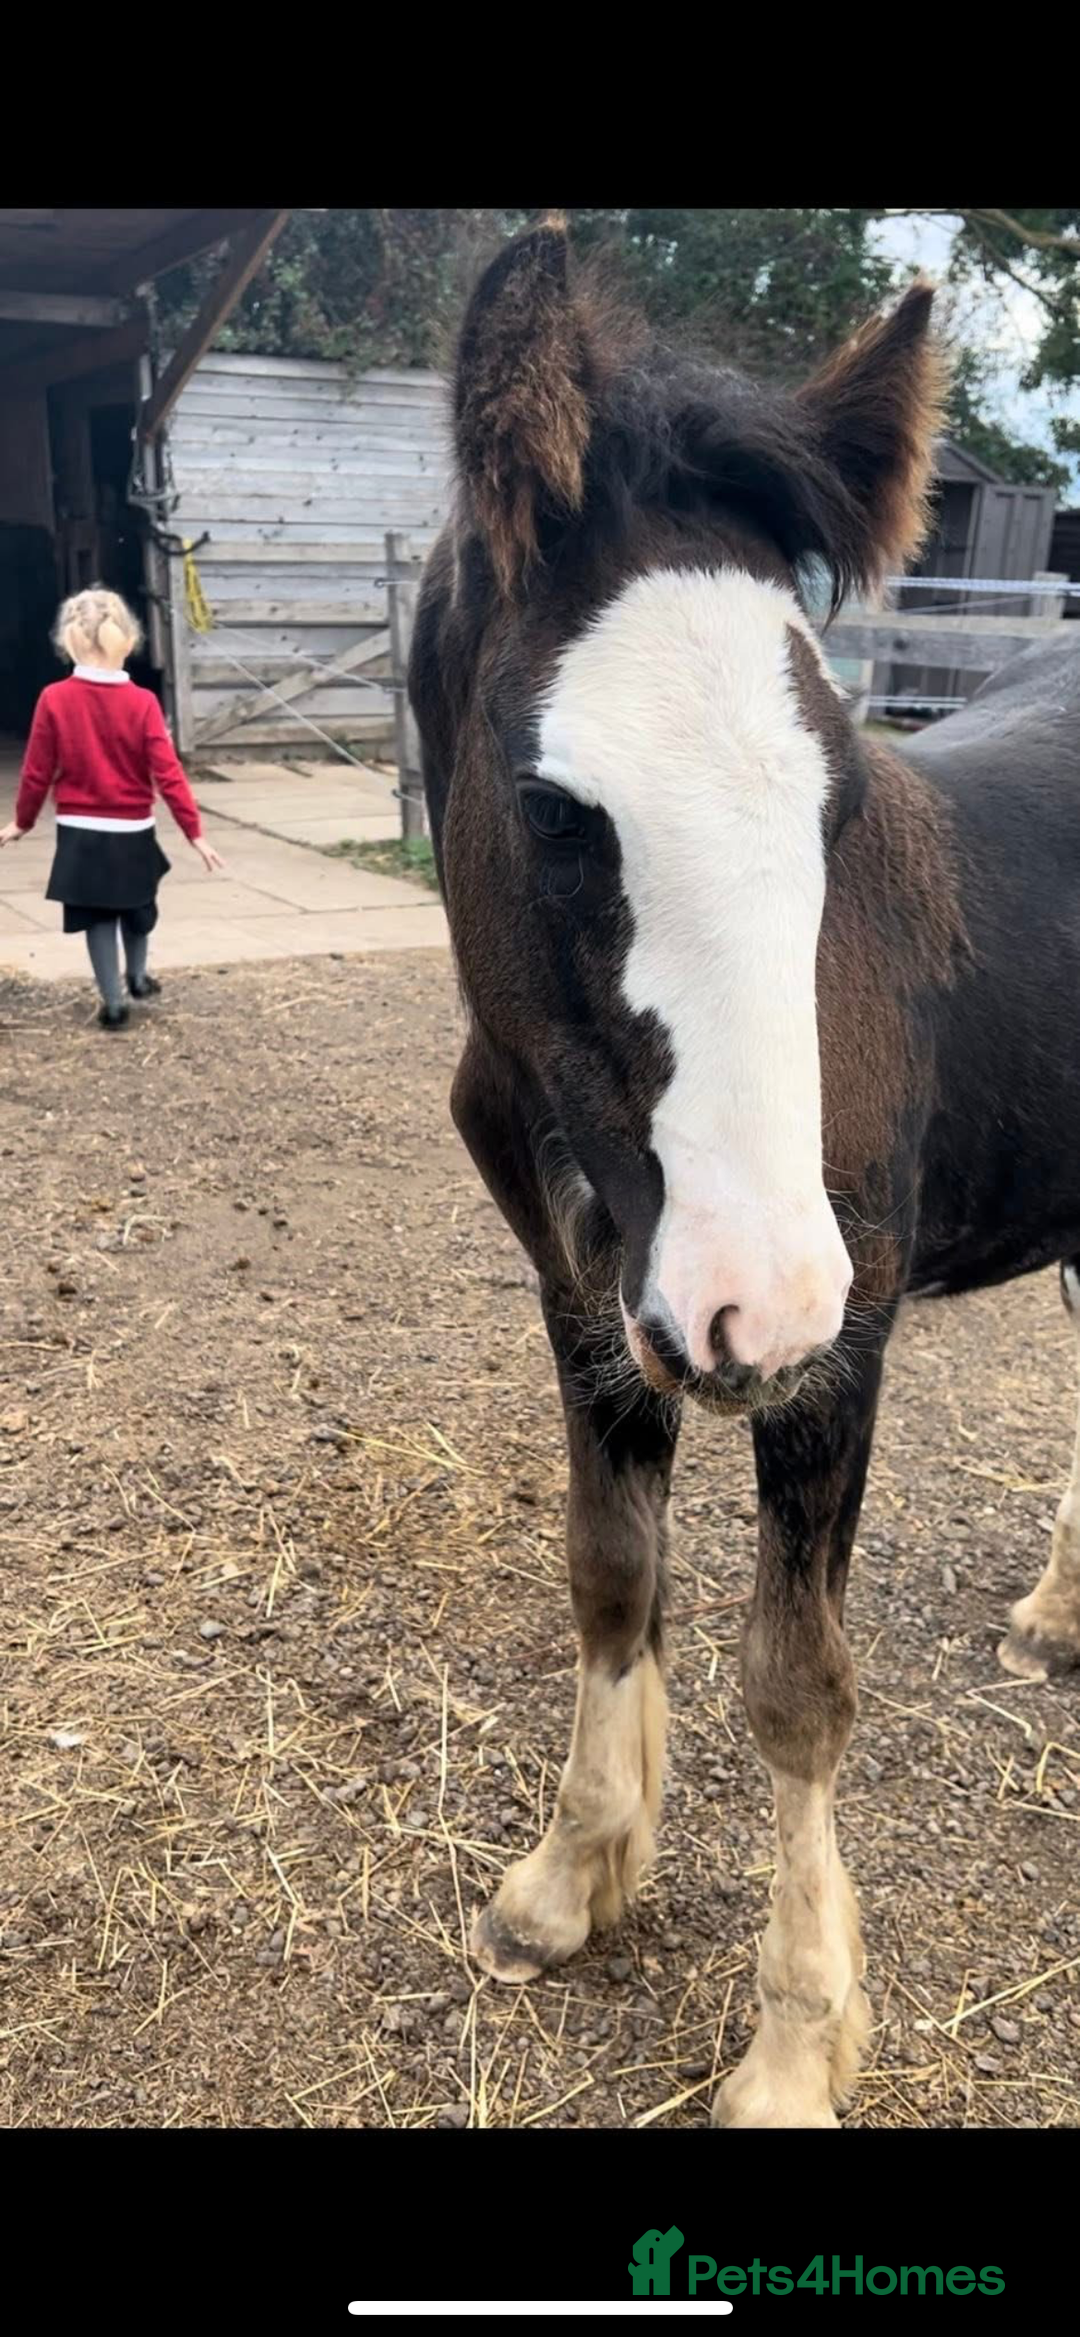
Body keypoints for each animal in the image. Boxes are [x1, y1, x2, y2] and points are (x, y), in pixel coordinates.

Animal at [407, 218, 1080, 2127]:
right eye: (554, 808)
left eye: (839, 796)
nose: (757, 1298)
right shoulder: (583, 1299)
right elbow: (611, 1576)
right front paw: (571, 1880)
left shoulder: (839, 1348)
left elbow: (796, 1686)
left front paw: (793, 2040)